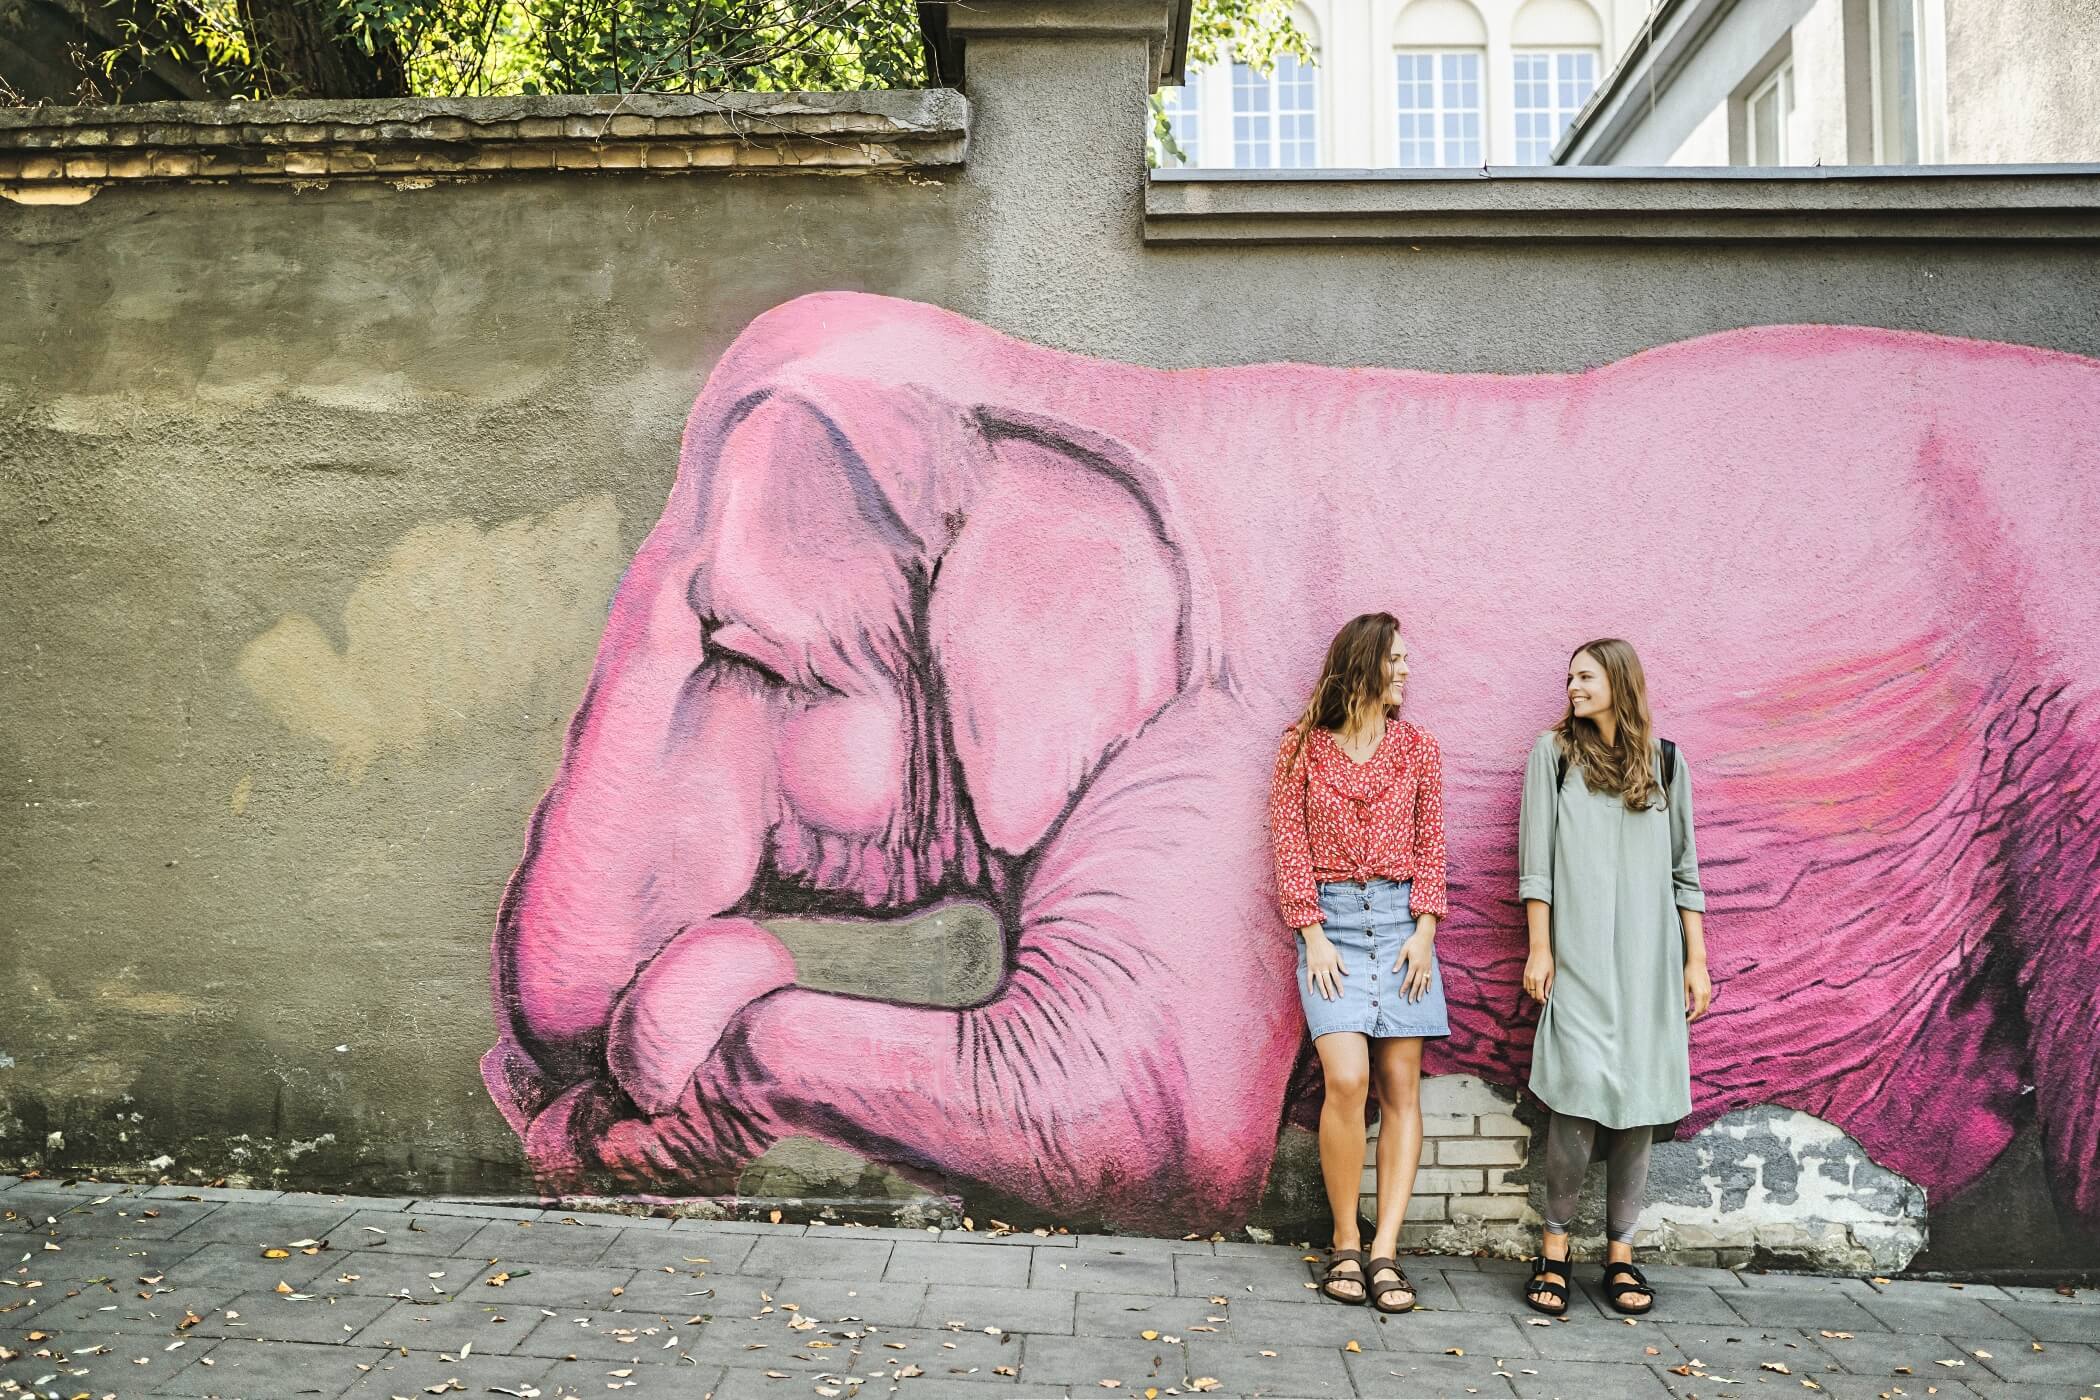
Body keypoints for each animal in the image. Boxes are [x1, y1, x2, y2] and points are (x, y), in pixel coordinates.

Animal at [484, 291, 2100, 1236]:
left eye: (736, 648)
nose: (541, 1078)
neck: (1071, 386)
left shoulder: (1221, 736)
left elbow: (1129, 1116)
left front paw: (673, 1044)